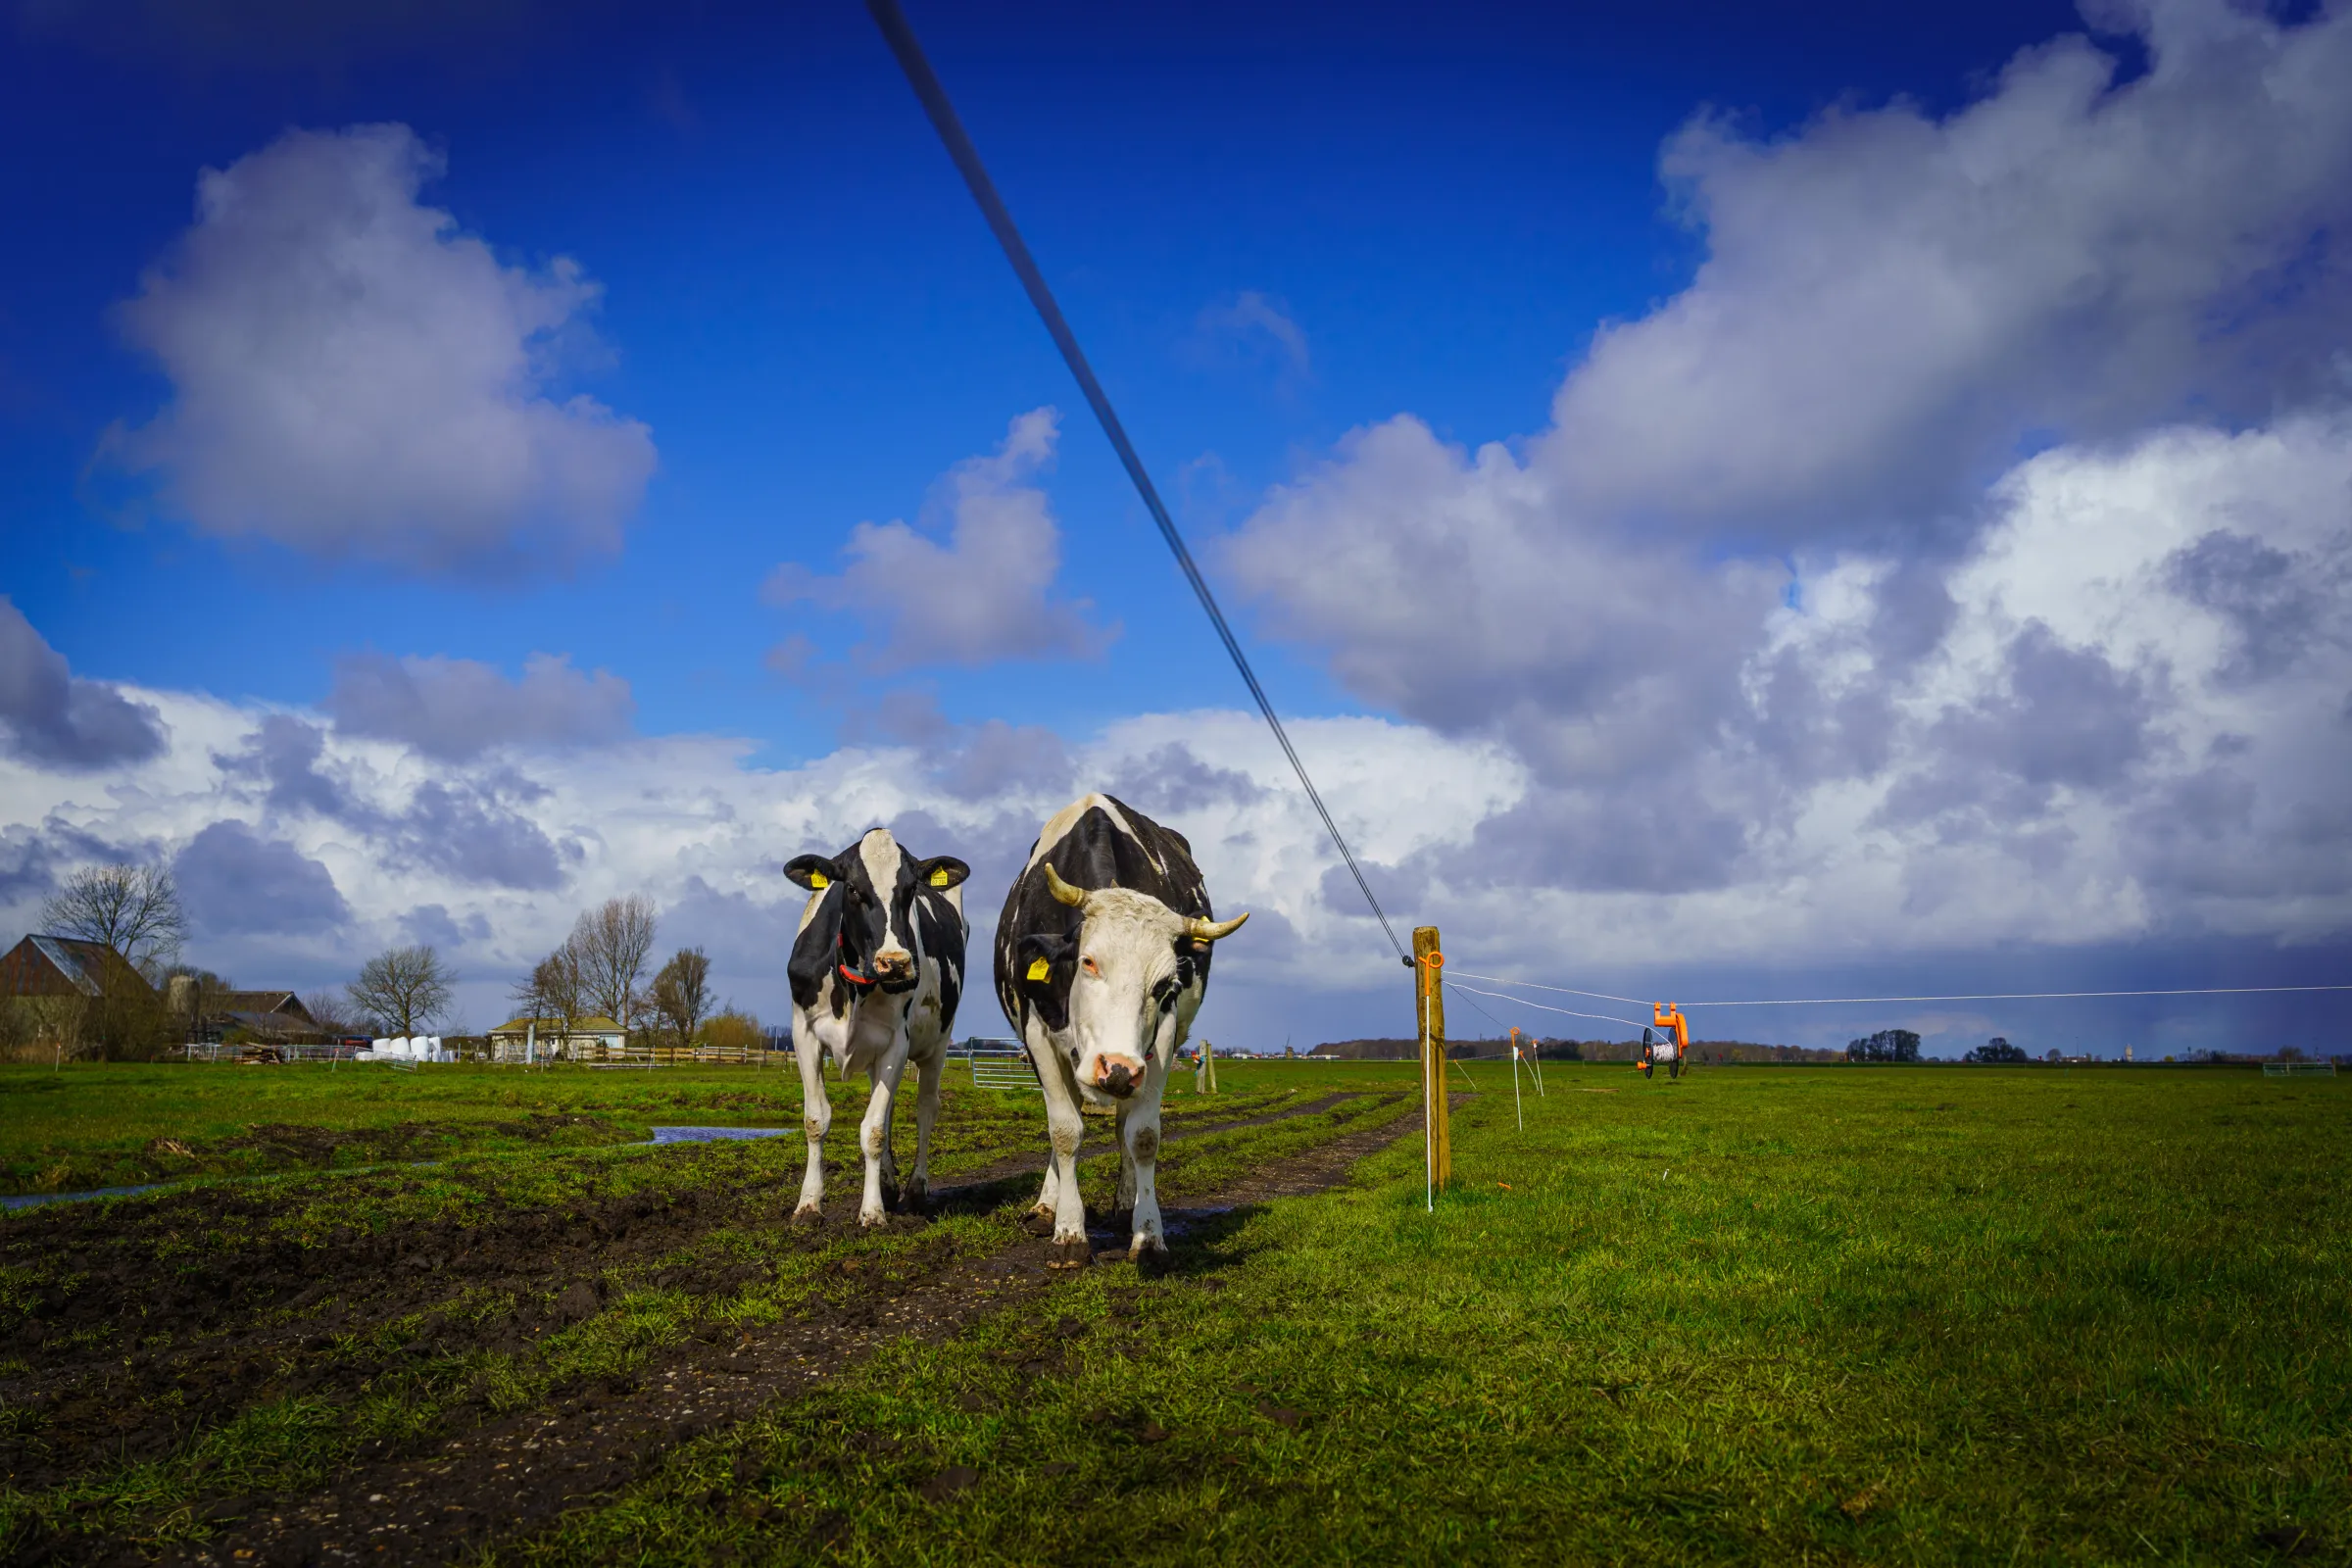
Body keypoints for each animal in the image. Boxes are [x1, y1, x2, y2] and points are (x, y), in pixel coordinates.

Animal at [783, 828, 969, 1225]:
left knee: (925, 1110)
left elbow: (874, 1129)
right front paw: (808, 1204)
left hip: (939, 1042)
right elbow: (815, 1120)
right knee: (888, 1104)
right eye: (852, 889)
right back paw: (886, 1183)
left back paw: (914, 1190)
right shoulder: (803, 1033)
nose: (895, 963)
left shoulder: (897, 1042)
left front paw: (871, 1212)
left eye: (911, 889)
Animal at [993, 793, 1248, 1261]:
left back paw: (1124, 1202)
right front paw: (1068, 1231)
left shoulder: (1162, 1041)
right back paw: (1046, 1207)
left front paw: (1147, 1233)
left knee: (1121, 1127)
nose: (1116, 1068)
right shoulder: (1037, 1036)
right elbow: (1064, 1132)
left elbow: (1142, 1135)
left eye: (1165, 984)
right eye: (1088, 961)